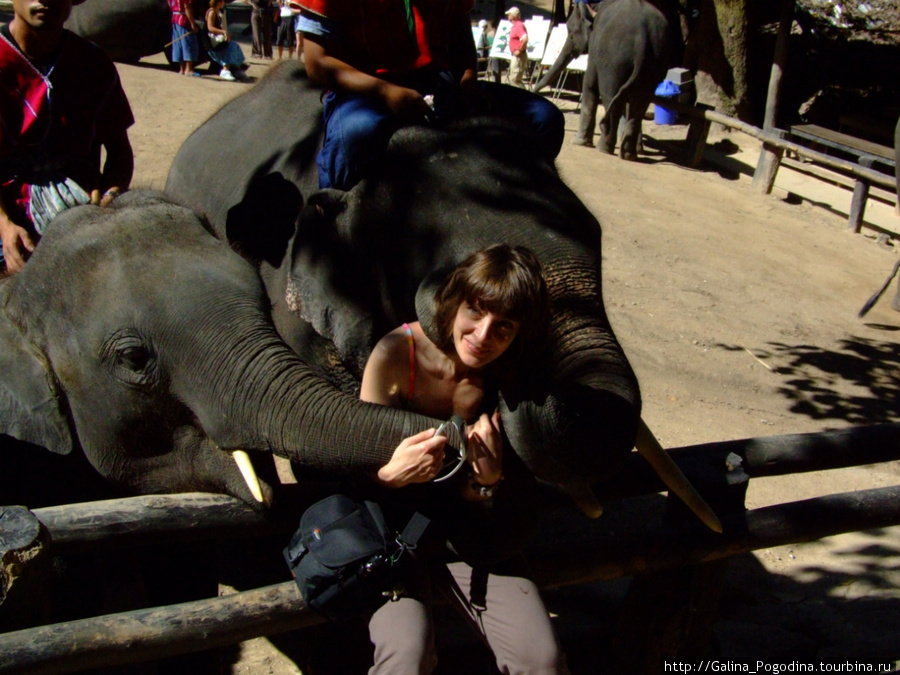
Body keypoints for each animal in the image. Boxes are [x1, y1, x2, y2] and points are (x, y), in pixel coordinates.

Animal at [572, 0, 680, 158]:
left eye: (571, 33)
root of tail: (643, 37)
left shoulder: (595, 50)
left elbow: (590, 83)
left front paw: (578, 142)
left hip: (614, 61)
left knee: (610, 97)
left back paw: (604, 148)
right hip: (655, 62)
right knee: (639, 105)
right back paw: (629, 154)